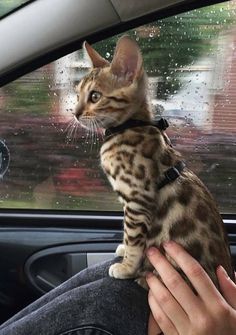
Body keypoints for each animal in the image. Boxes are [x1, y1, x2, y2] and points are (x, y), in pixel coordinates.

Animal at [74, 35, 234, 290]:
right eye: (77, 94)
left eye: (95, 96)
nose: (75, 113)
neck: (129, 126)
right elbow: (128, 234)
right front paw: (124, 252)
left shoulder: (138, 199)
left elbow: (134, 238)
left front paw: (127, 267)